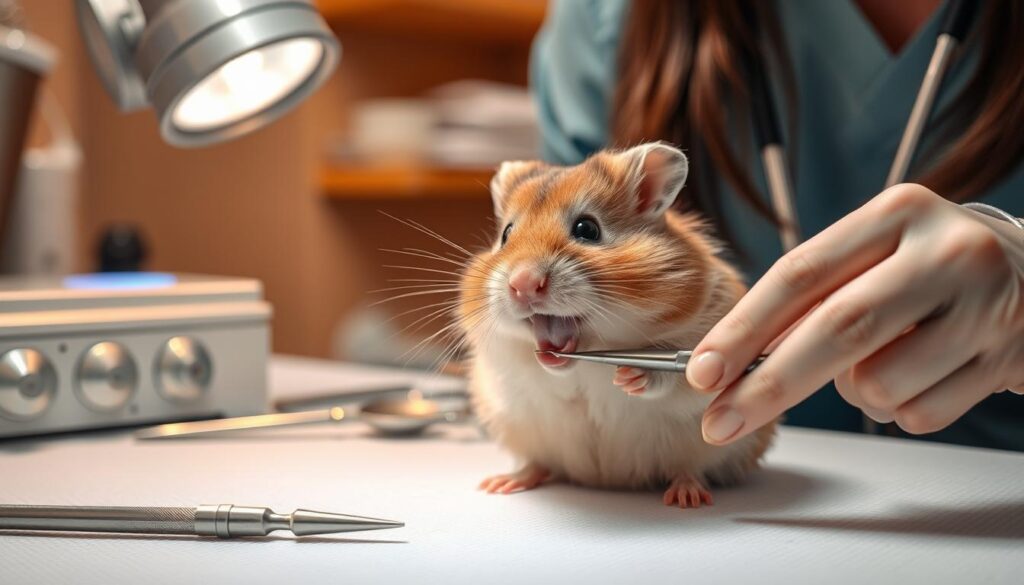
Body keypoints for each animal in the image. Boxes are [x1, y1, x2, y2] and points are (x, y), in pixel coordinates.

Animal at [458, 142, 774, 508]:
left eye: (587, 229)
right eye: (506, 235)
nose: (522, 284)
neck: (593, 349)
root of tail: (607, 480)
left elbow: (675, 376)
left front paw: (629, 377)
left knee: (690, 468)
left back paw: (687, 497)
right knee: (538, 463)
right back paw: (502, 483)